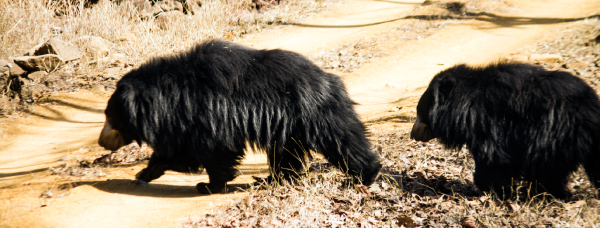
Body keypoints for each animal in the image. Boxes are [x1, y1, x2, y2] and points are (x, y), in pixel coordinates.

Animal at [98, 40, 380, 193]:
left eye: (110, 117)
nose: (101, 141)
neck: (169, 99)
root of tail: (330, 79)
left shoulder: (205, 113)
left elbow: (213, 150)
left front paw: (208, 186)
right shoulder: (185, 119)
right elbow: (180, 150)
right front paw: (144, 174)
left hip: (315, 112)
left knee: (341, 139)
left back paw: (367, 175)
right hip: (290, 126)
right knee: (286, 152)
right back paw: (274, 178)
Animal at [410, 61, 600, 199]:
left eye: (419, 112)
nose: (413, 134)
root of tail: (590, 109)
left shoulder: (489, 121)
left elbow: (493, 157)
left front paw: (490, 189)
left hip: (555, 133)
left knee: (544, 167)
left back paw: (544, 194)